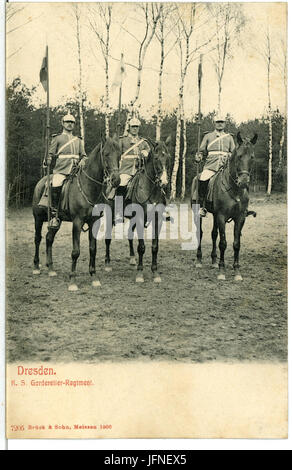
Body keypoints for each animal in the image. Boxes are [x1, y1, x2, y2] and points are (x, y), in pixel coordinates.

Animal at [32, 134, 121, 292]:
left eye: (119, 155)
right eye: (106, 154)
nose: (116, 180)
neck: (88, 187)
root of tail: (41, 182)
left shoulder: (94, 222)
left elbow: (93, 249)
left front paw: (94, 276)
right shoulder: (77, 222)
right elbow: (75, 251)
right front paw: (72, 280)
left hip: (56, 221)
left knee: (49, 238)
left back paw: (51, 269)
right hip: (38, 219)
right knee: (37, 239)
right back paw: (36, 266)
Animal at [101, 136, 171, 282]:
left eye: (168, 157)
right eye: (156, 157)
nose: (164, 182)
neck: (151, 190)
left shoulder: (157, 220)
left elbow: (155, 247)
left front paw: (155, 272)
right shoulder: (139, 218)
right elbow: (142, 247)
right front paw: (140, 273)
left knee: (129, 234)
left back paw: (132, 259)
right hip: (110, 215)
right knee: (108, 238)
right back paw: (108, 263)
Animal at [192, 130, 258, 280]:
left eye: (252, 157)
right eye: (239, 156)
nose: (243, 181)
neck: (235, 189)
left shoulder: (240, 218)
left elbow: (236, 244)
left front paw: (237, 271)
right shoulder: (222, 216)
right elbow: (223, 243)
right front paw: (222, 271)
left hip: (215, 216)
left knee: (213, 234)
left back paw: (214, 261)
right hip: (198, 212)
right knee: (200, 233)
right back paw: (199, 260)